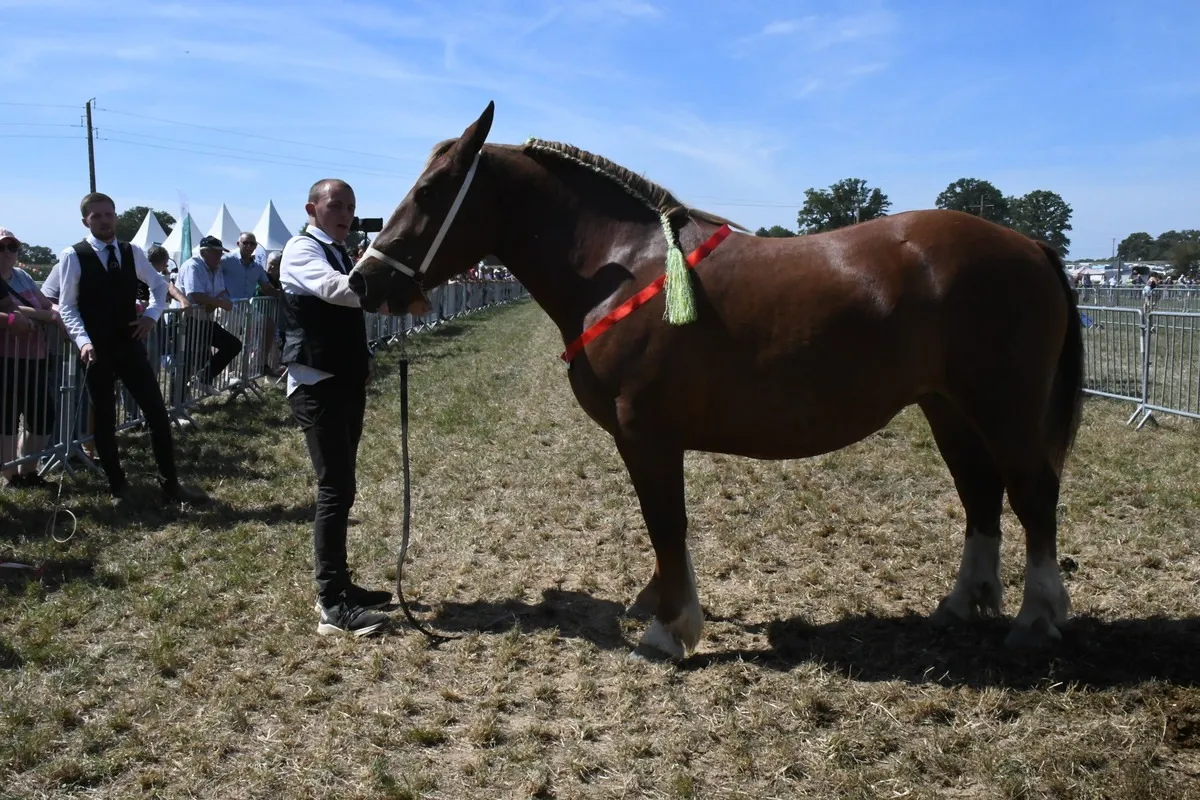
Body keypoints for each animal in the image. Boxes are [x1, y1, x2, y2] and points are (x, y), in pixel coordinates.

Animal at [349, 101, 1084, 660]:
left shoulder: (647, 435)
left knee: (1032, 494)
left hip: (1002, 407)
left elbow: (666, 523)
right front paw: (657, 604)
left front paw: (670, 630)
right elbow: (661, 529)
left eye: (428, 192)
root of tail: (1031, 246)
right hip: (947, 407)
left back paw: (1037, 620)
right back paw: (963, 603)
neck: (627, 267)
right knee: (981, 493)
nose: (364, 280)